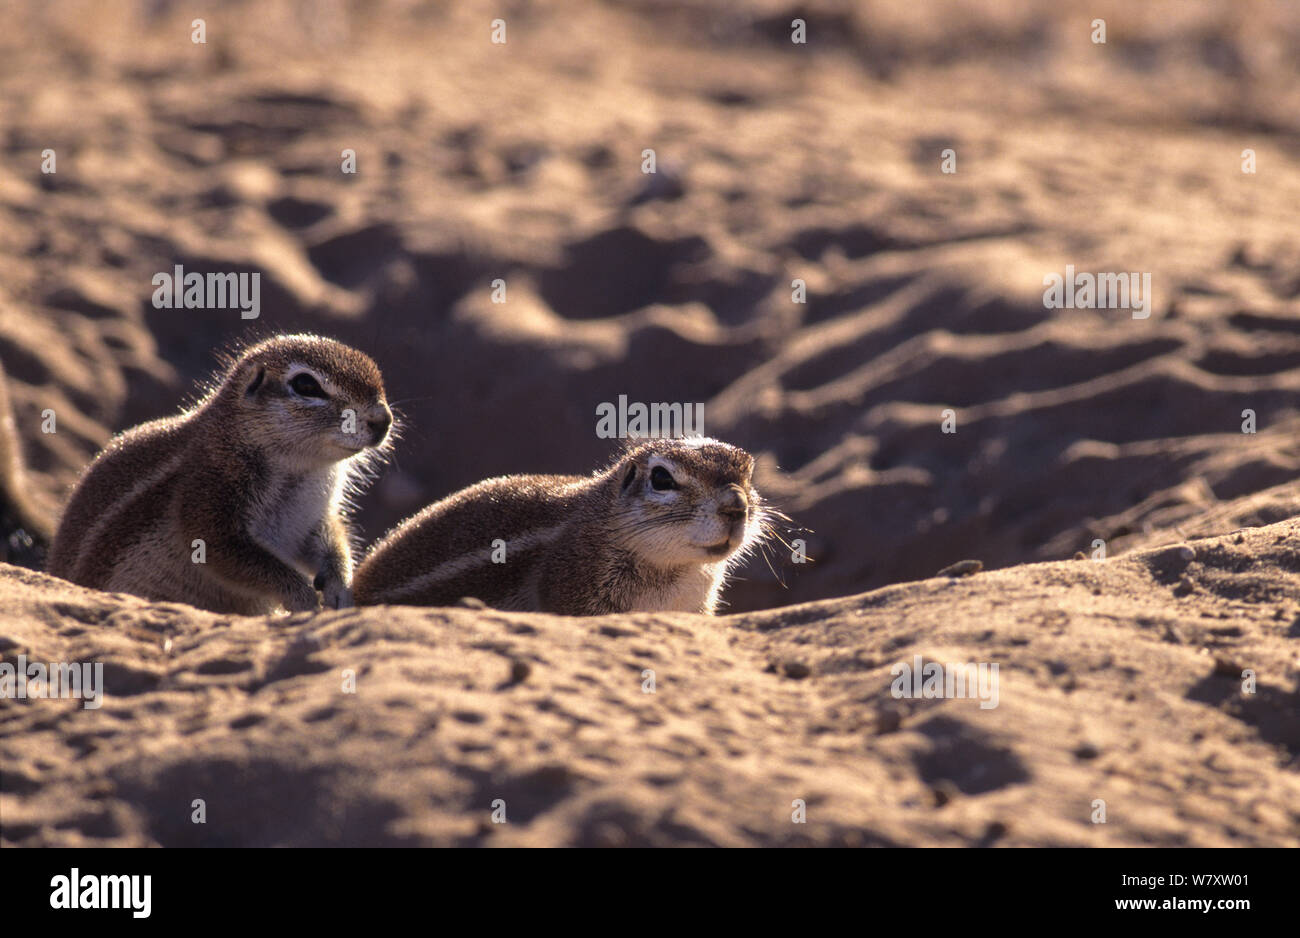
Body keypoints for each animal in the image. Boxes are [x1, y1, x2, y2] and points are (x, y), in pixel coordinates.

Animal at [49, 335, 390, 613]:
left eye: (377, 374)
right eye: (306, 386)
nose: (383, 420)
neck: (304, 469)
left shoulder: (313, 517)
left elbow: (331, 540)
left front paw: (340, 587)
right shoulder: (210, 493)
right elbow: (229, 555)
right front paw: (303, 597)